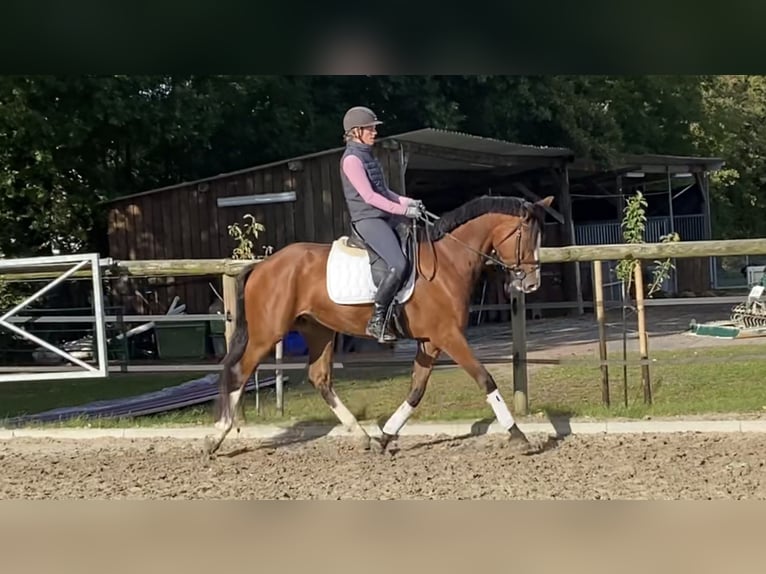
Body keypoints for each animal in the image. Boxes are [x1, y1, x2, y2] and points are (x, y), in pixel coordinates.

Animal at [207, 196, 556, 456]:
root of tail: (261, 266)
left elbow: (416, 390)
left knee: (319, 377)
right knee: (240, 371)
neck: (448, 261)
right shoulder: (449, 336)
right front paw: (519, 436)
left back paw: (362, 435)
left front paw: (386, 437)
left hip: (318, 329)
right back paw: (218, 436)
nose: (532, 284)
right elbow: (485, 379)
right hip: (268, 333)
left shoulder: (431, 341)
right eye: (526, 236)